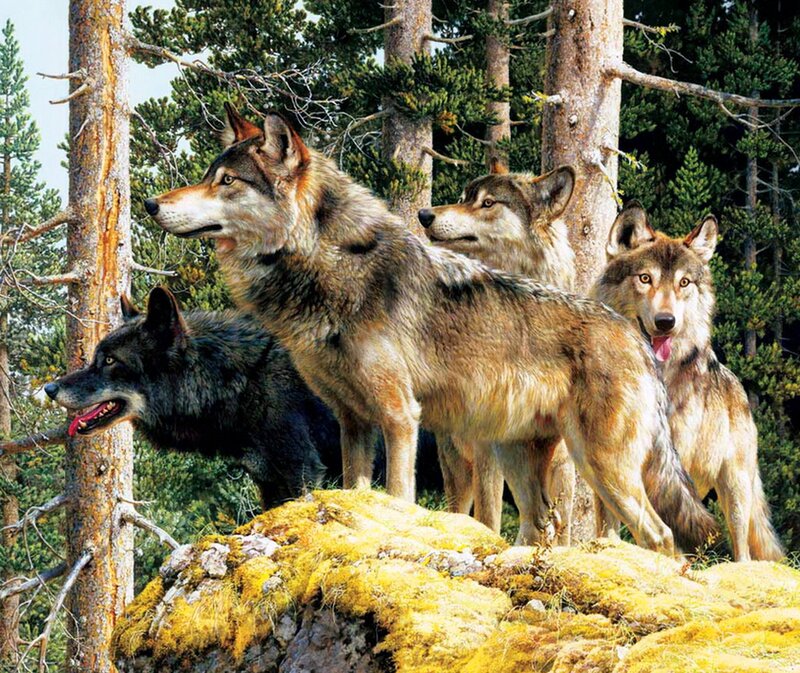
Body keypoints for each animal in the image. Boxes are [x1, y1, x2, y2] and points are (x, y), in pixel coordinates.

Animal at [44, 286, 341, 508]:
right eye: (97, 356)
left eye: (109, 360)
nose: (49, 389)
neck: (240, 377)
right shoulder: (269, 480)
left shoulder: (301, 470)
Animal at [419, 163, 577, 544]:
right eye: (464, 197)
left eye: (488, 202)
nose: (425, 214)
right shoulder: (488, 452)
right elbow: (489, 519)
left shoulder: (564, 462)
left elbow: (560, 529)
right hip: (459, 463)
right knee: (462, 510)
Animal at [592, 203, 783, 561]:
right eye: (645, 278)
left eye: (684, 283)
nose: (666, 322)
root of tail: (736, 385)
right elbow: (609, 524)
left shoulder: (671, 469)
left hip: (735, 491)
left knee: (742, 549)